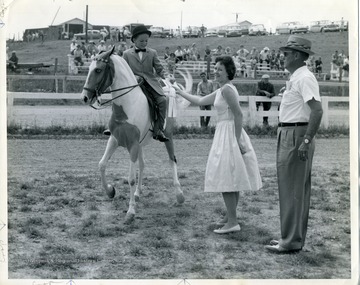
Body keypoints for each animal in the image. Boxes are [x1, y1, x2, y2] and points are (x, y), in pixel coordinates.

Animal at [81, 46, 193, 223]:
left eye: (98, 70)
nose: (85, 97)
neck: (127, 105)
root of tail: (169, 89)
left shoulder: (132, 145)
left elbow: (131, 178)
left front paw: (131, 211)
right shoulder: (114, 139)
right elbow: (102, 165)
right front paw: (110, 191)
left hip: (167, 136)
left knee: (172, 160)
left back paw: (179, 195)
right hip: (140, 144)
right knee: (142, 164)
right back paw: (138, 193)